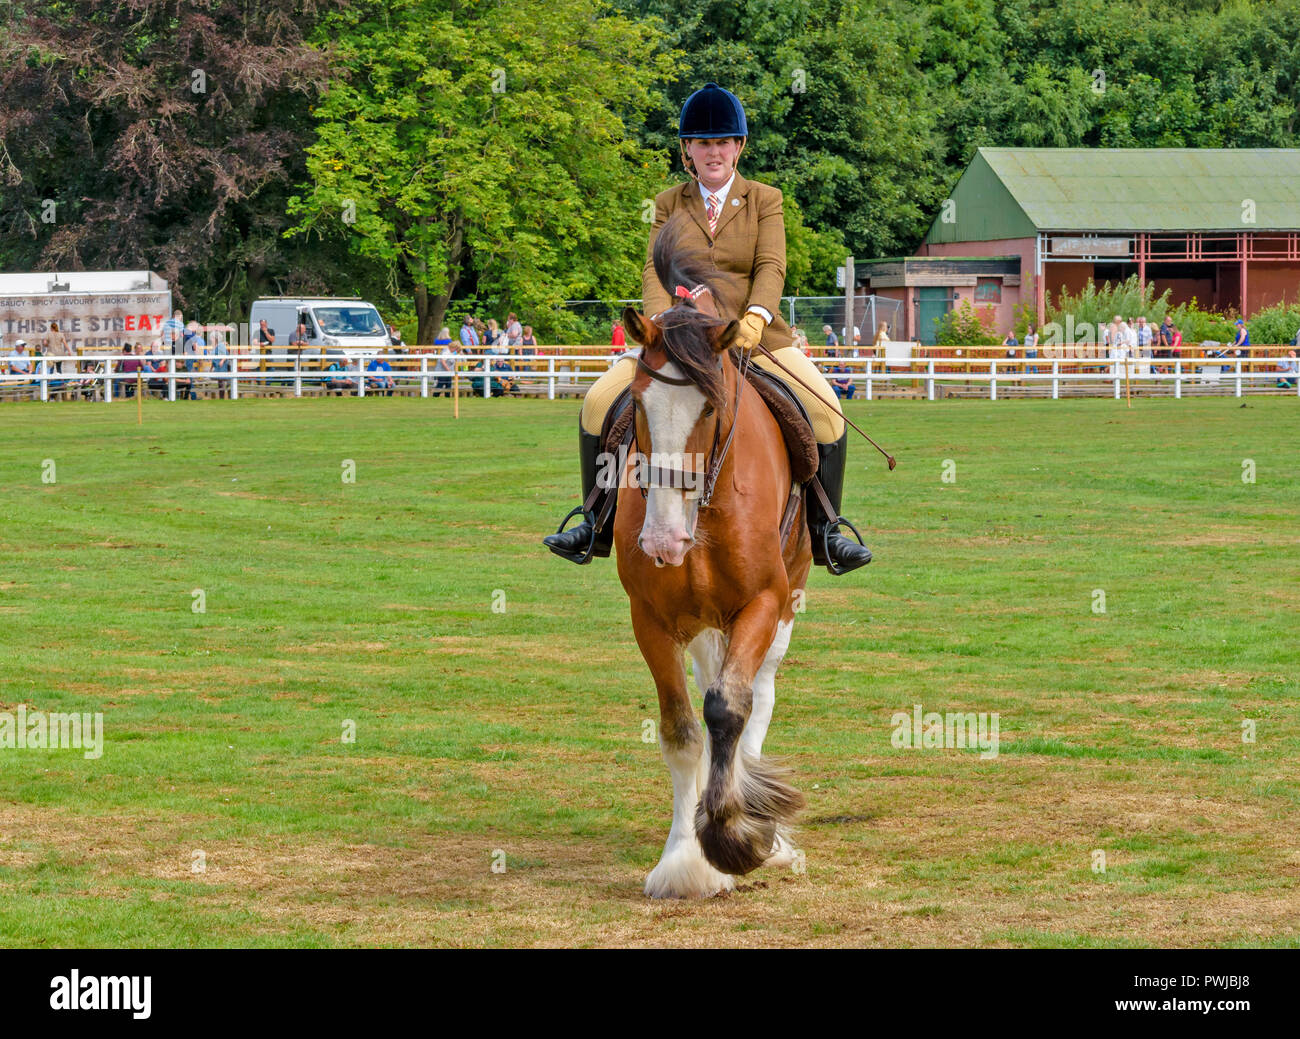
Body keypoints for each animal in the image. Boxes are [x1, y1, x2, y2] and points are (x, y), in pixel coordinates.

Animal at [613, 215, 806, 899]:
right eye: (638, 405)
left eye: (711, 408)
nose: (664, 543)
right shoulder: (651, 618)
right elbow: (680, 731)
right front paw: (683, 861)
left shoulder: (764, 602)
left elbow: (730, 711)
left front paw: (732, 838)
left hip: (788, 600)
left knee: (757, 699)